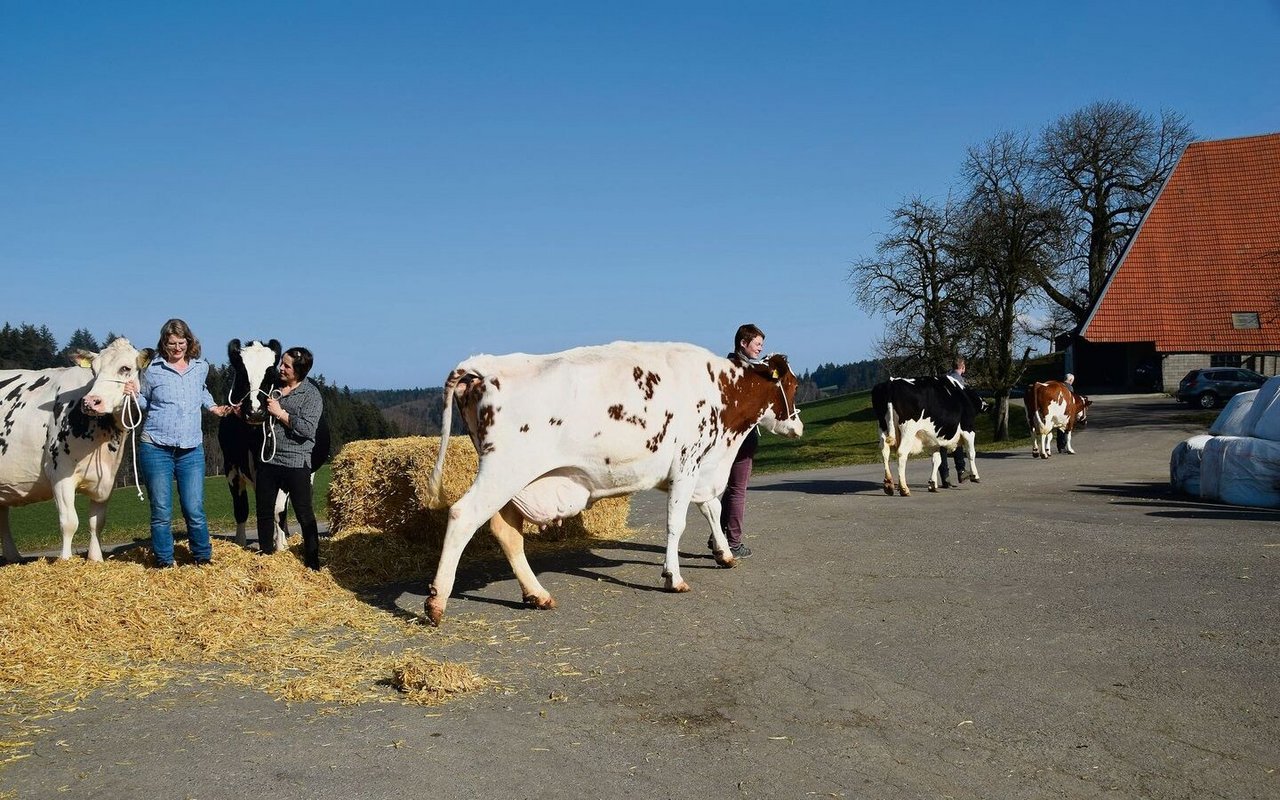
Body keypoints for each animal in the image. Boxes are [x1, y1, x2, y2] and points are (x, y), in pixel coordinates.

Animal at [0, 337, 149, 560]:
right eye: (94, 371)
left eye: (125, 368)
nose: (91, 402)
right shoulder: (59, 473)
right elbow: (69, 522)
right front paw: (65, 560)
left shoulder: (108, 479)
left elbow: (97, 522)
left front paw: (96, 559)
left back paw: (14, 558)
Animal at [419, 340, 798, 627]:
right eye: (793, 386)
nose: (798, 426)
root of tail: (485, 364)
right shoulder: (687, 462)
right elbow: (677, 523)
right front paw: (673, 578)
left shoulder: (699, 468)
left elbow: (711, 507)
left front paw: (724, 554)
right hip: (504, 469)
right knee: (463, 515)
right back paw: (436, 603)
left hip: (515, 480)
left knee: (506, 531)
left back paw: (538, 595)